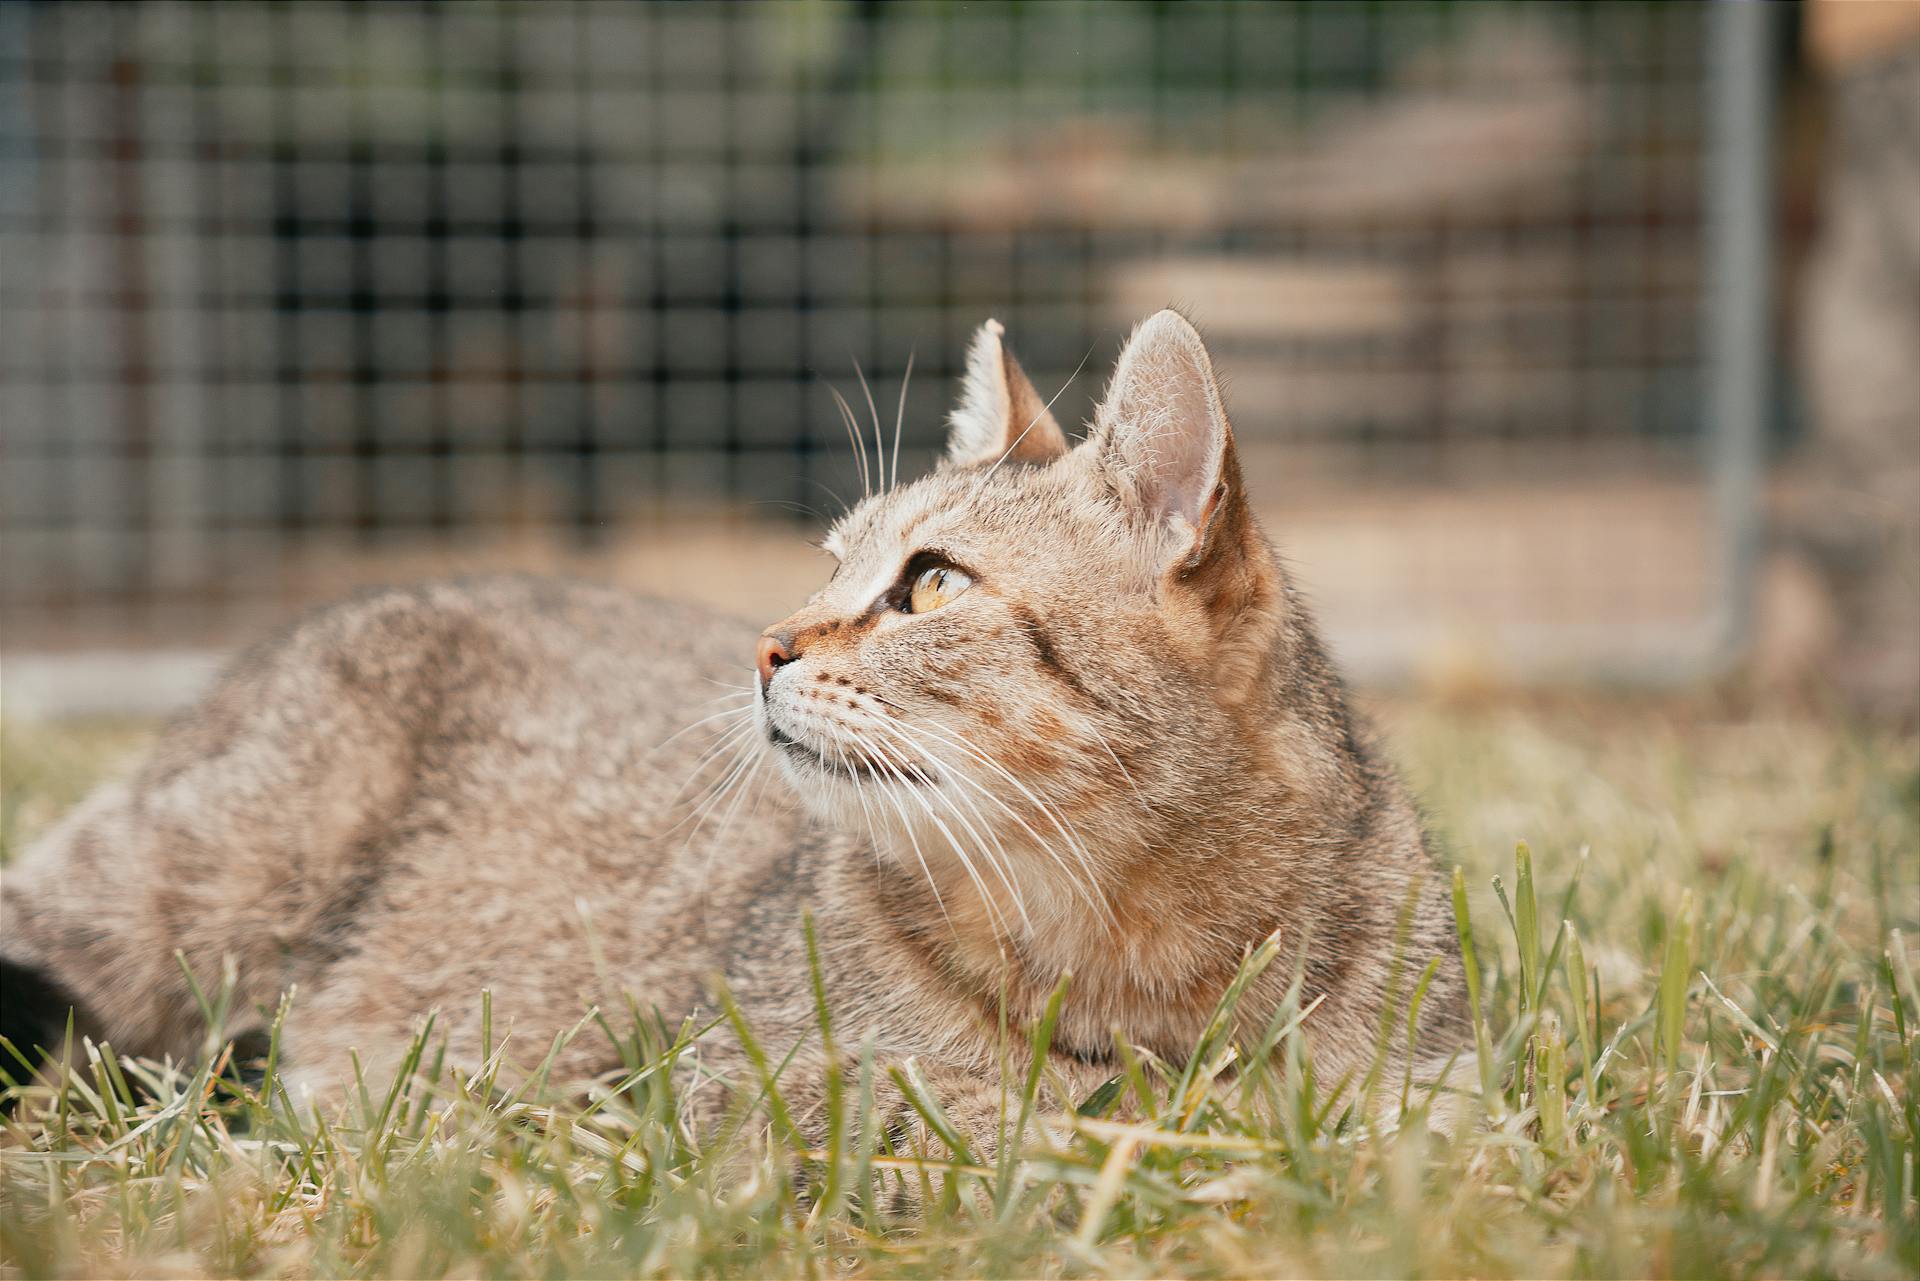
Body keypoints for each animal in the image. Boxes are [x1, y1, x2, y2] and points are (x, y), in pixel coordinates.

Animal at [3, 311, 1466, 1152]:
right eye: (831, 563)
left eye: (930, 584)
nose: (766, 643)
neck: (1139, 951)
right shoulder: (723, 1087)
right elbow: (1025, 1118)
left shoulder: (1443, 1087)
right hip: (188, 884)